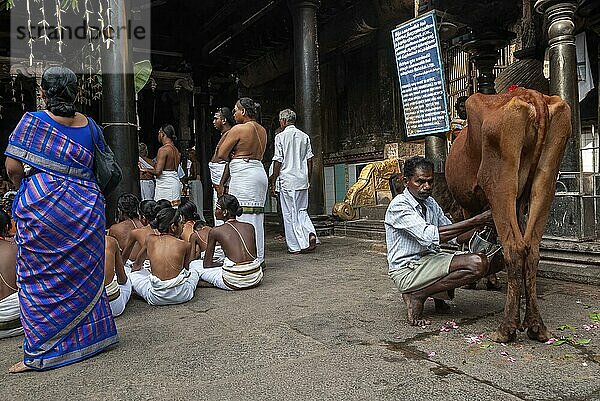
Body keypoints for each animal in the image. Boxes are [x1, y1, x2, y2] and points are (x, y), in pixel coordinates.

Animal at [446, 86, 572, 340]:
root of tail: (529, 95)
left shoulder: (468, 205)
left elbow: (471, 238)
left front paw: (481, 281)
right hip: (546, 181)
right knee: (531, 250)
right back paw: (535, 326)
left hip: (499, 181)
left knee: (514, 248)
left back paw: (507, 328)